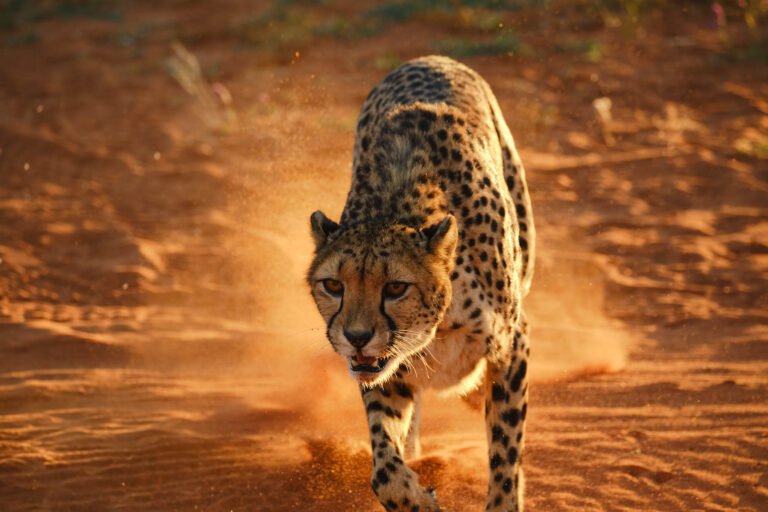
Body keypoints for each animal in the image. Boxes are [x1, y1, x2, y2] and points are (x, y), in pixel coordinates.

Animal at [307, 55, 535, 512]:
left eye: (396, 288)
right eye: (334, 285)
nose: (356, 337)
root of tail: (429, 59)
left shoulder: (513, 343)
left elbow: (505, 449)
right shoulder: (385, 370)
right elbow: (384, 470)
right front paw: (418, 496)